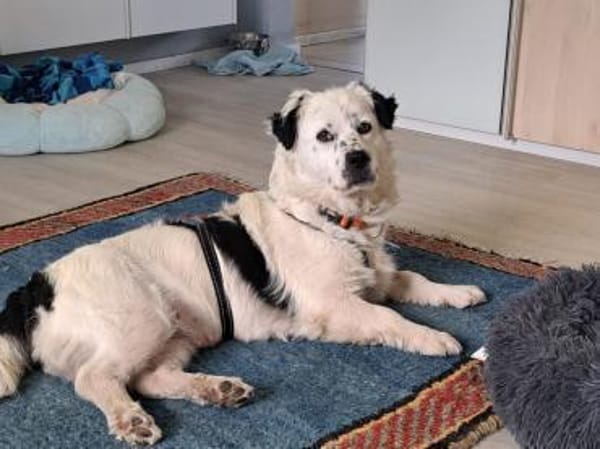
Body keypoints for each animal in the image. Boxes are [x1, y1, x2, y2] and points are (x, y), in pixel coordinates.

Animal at [0, 83, 485, 445]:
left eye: (365, 127)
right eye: (324, 136)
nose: (358, 158)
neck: (332, 219)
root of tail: (34, 287)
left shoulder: (376, 276)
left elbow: (413, 278)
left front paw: (458, 292)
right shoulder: (334, 306)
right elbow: (390, 317)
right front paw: (432, 337)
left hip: (177, 333)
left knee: (150, 379)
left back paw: (218, 389)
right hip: (141, 317)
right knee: (94, 378)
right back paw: (132, 419)